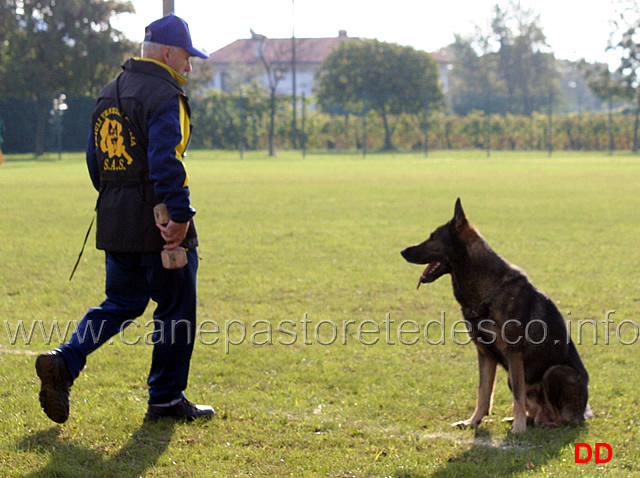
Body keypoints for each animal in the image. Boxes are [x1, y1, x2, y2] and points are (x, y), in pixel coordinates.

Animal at [402, 198, 592, 434]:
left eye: (433, 237)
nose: (403, 251)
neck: (488, 291)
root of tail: (584, 412)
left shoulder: (513, 354)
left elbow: (516, 398)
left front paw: (518, 429)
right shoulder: (485, 354)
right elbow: (483, 393)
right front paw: (473, 421)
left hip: (555, 372)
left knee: (559, 418)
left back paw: (542, 423)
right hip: (513, 377)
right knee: (533, 411)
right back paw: (524, 419)